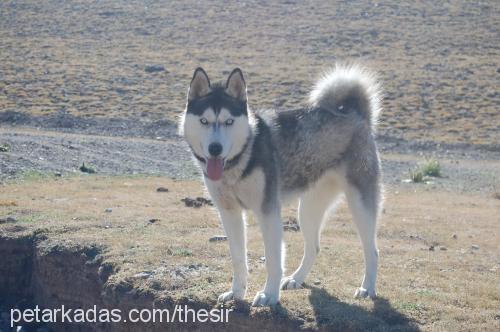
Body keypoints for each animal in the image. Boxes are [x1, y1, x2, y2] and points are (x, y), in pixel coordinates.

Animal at [180, 65, 382, 306]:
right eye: (204, 121)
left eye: (229, 121)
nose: (215, 148)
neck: (241, 159)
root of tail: (356, 114)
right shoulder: (229, 212)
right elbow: (238, 258)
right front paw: (237, 292)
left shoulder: (268, 212)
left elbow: (272, 260)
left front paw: (269, 294)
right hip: (308, 210)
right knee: (314, 247)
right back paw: (297, 279)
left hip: (360, 205)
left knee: (372, 251)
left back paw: (367, 287)